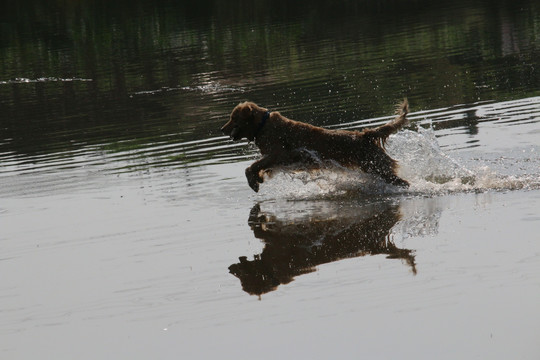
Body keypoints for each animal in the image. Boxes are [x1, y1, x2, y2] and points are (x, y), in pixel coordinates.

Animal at [219, 100, 410, 193]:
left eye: (233, 118)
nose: (221, 129)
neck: (263, 126)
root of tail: (365, 135)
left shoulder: (279, 154)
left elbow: (251, 166)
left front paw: (254, 181)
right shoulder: (275, 159)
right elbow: (258, 167)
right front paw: (258, 178)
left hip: (377, 167)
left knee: (403, 182)